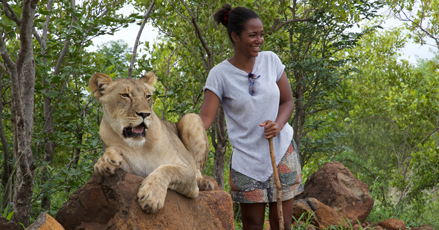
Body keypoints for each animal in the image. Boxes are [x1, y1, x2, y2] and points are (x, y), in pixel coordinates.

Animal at [89, 72, 215, 214]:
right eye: (125, 95)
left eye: (148, 96)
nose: (145, 114)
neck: (139, 147)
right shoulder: (130, 170)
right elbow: (111, 150)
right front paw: (104, 162)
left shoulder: (188, 172)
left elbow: (167, 169)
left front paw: (152, 196)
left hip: (191, 117)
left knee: (197, 169)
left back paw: (204, 183)